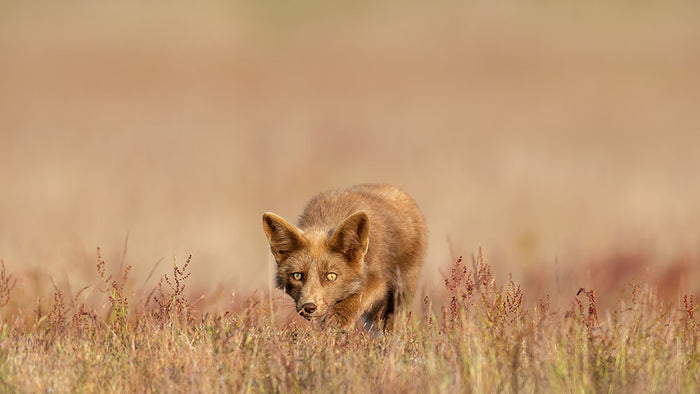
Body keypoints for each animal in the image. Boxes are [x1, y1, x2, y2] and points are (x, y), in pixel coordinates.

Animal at [262, 183, 426, 330]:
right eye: (297, 276)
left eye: (331, 276)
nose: (308, 307)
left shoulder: (378, 280)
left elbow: (356, 299)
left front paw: (333, 323)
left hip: (402, 290)